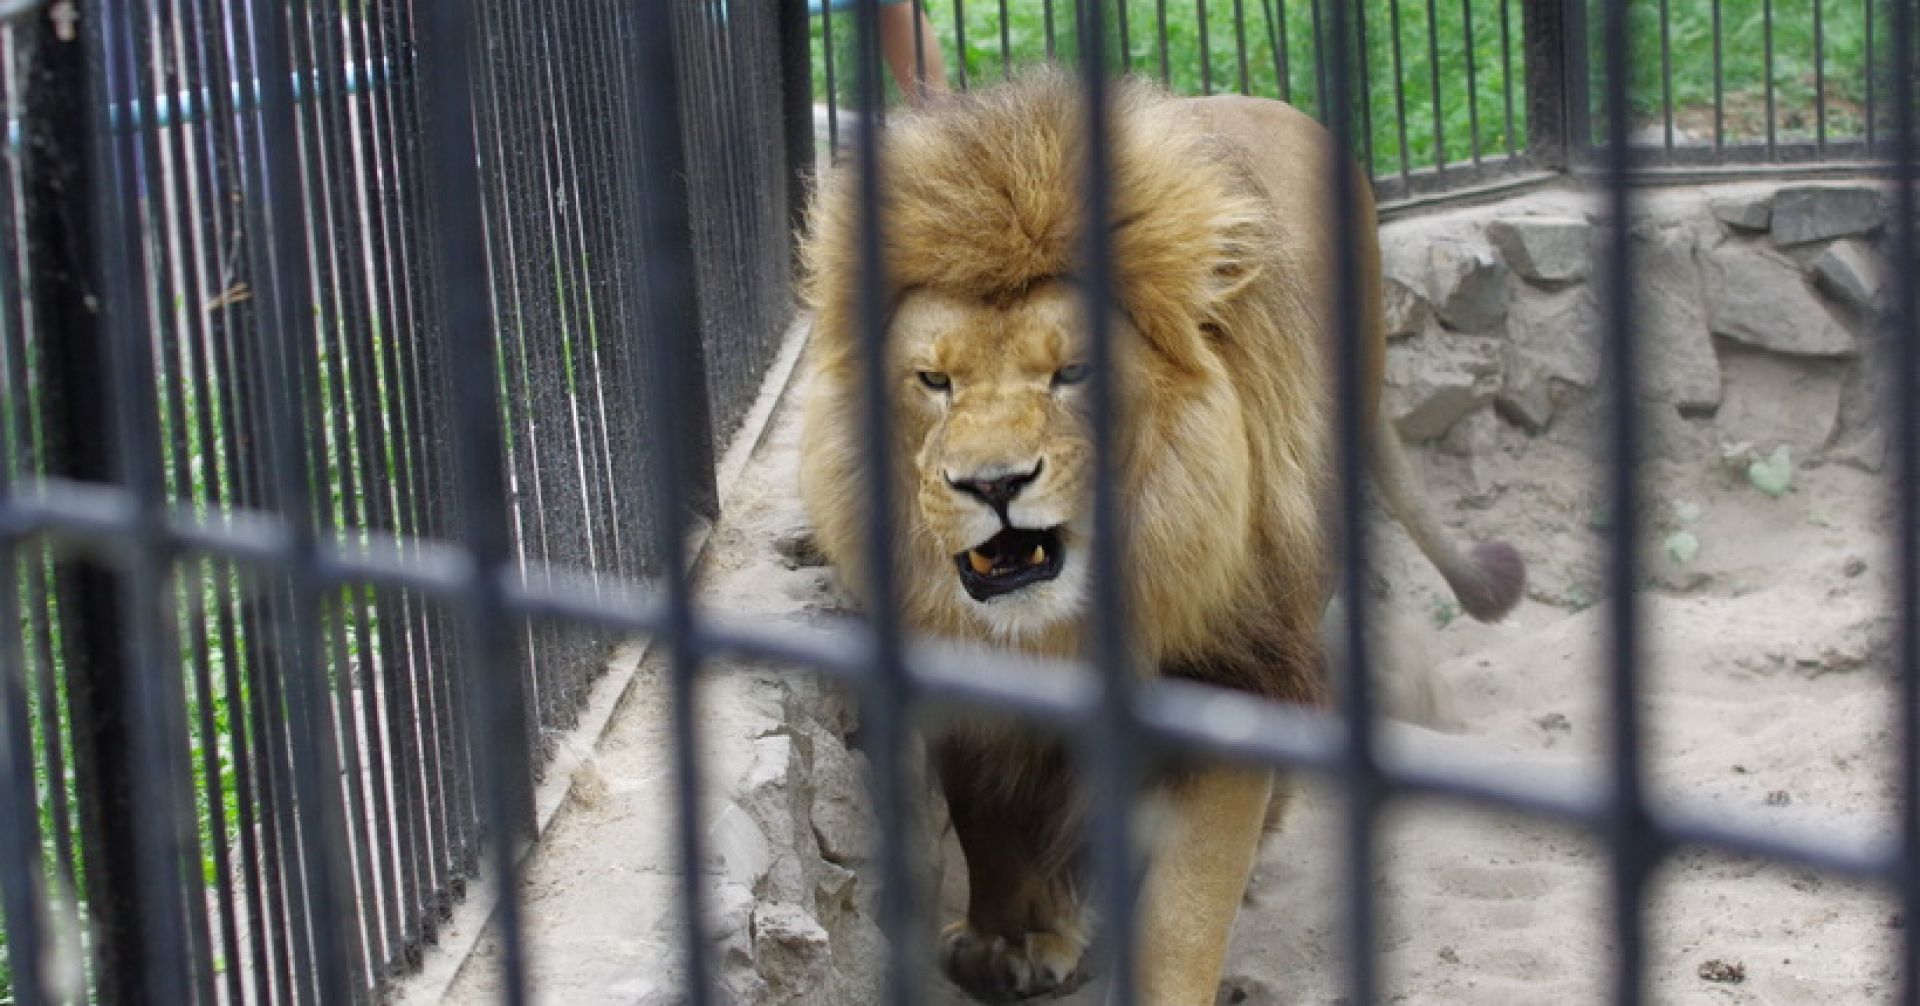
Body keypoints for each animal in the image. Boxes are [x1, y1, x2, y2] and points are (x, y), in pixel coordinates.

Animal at [795, 69, 1524, 1004]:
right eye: (933, 380)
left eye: (1072, 373)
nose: (992, 484)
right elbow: (990, 820)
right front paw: (1012, 940)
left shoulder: (1233, 667)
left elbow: (1186, 900)